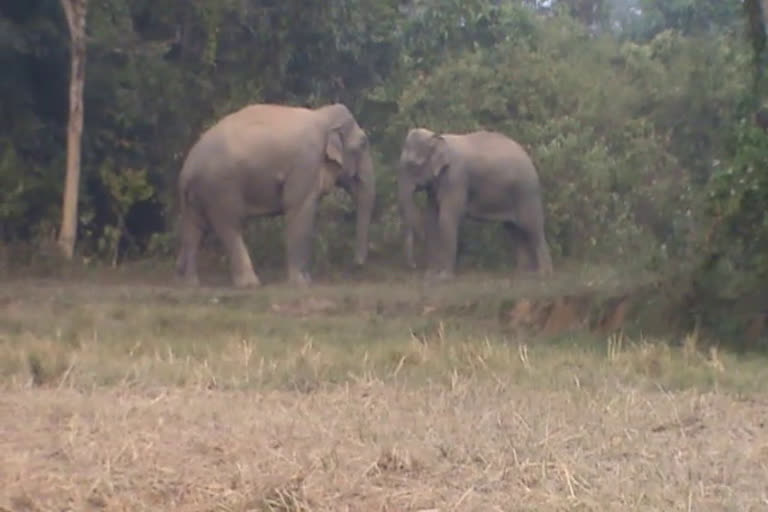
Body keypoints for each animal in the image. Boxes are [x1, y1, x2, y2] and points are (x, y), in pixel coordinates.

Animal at [175, 102, 378, 286]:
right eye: (363, 144)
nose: (357, 264)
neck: (323, 116)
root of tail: (187, 169)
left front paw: (305, 280)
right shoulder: (306, 162)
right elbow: (298, 210)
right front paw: (301, 283)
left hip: (198, 194)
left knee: (195, 229)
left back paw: (192, 283)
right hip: (220, 187)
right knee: (229, 225)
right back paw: (250, 283)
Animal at [400, 127, 556, 280]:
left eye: (413, 165)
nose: (414, 266)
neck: (436, 137)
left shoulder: (456, 178)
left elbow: (446, 218)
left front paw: (444, 278)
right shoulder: (435, 185)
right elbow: (431, 218)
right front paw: (430, 276)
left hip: (526, 193)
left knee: (532, 228)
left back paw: (543, 274)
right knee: (514, 231)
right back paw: (522, 274)